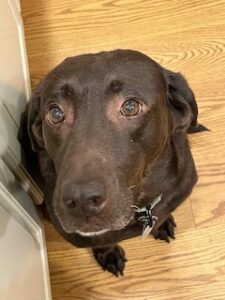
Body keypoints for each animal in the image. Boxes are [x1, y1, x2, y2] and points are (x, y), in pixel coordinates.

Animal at [27, 49, 202, 276]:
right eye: (55, 114)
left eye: (130, 107)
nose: (81, 200)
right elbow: (100, 242)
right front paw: (108, 254)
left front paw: (162, 222)